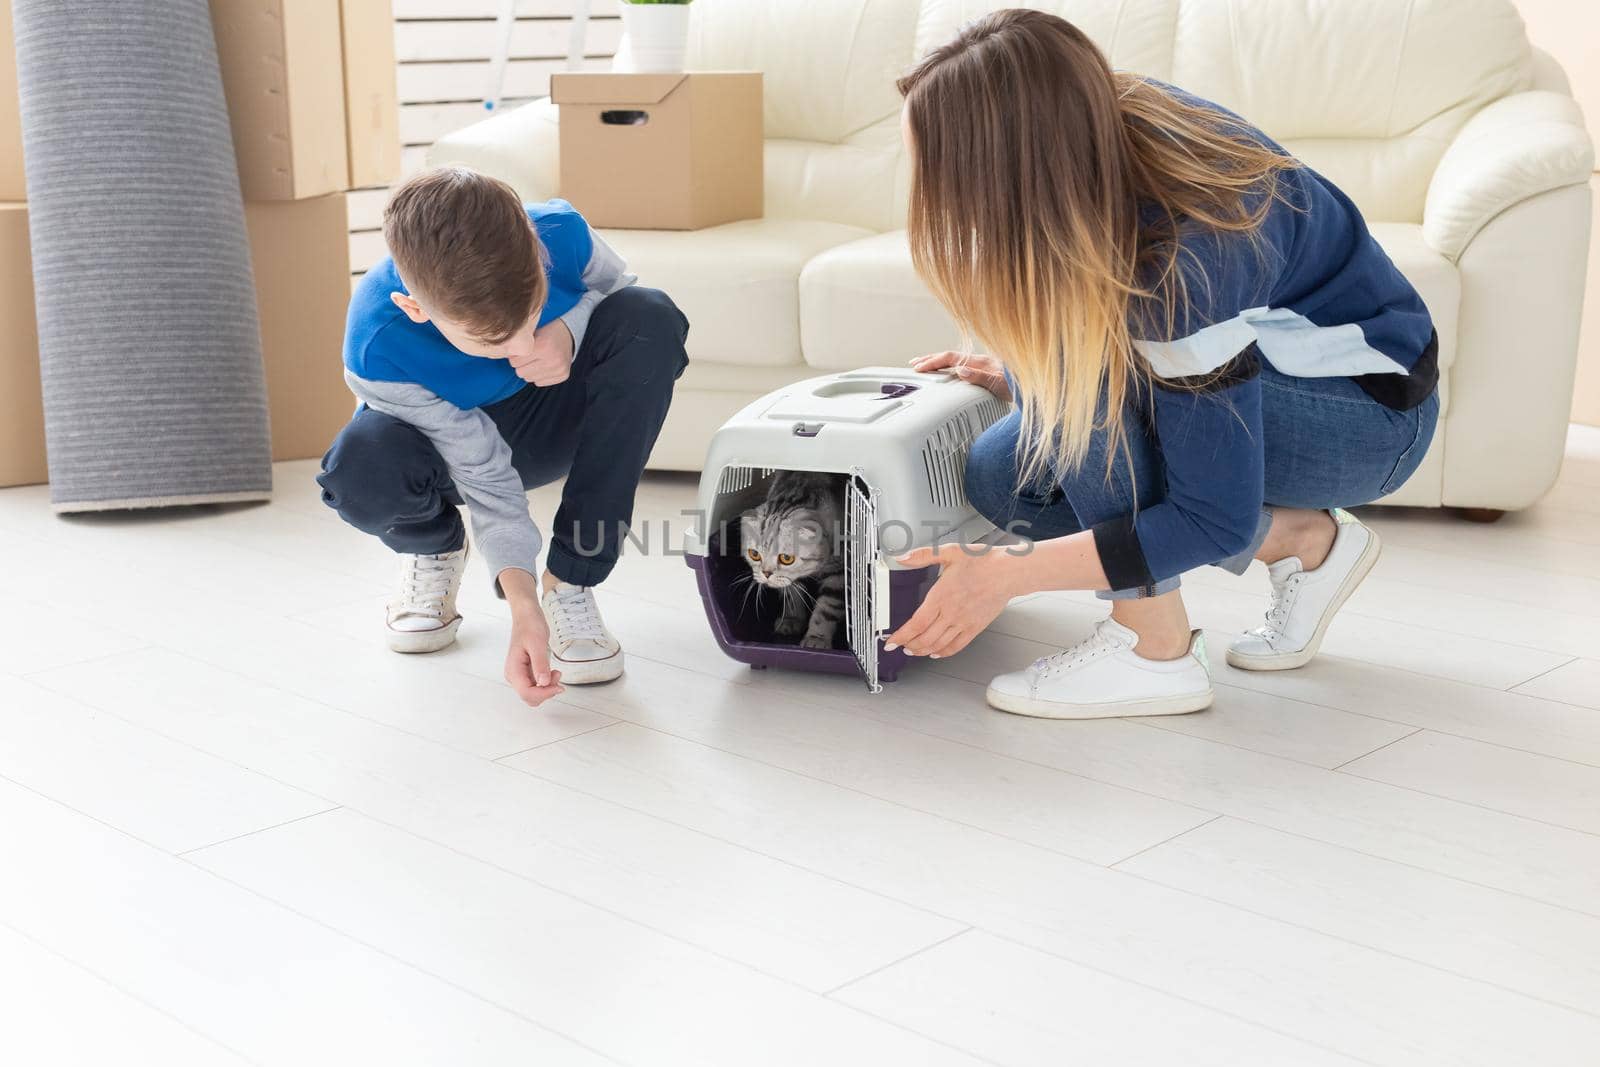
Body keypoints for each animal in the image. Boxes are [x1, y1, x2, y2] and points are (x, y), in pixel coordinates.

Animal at [739, 473, 851, 652]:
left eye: (786, 558)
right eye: (754, 554)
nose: (766, 573)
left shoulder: (838, 573)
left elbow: (827, 608)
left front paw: (816, 638)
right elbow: (791, 595)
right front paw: (791, 620)